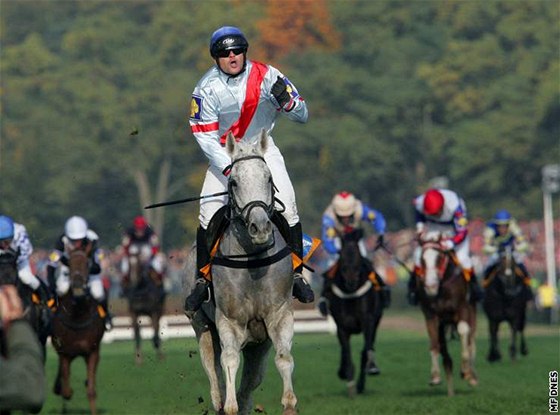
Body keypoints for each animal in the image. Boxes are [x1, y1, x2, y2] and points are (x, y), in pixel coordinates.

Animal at [50, 247, 105, 415]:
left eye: (87, 264)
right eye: (70, 264)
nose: (79, 288)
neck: (78, 315)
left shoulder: (92, 352)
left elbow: (91, 391)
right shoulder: (65, 353)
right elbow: (66, 390)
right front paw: (65, 390)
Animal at [184, 131, 298, 415]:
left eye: (268, 178)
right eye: (233, 182)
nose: (260, 227)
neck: (252, 261)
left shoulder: (279, 316)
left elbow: (284, 358)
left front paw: (289, 403)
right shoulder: (229, 322)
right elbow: (229, 364)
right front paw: (229, 405)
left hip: (258, 345)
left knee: (248, 387)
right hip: (201, 327)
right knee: (215, 380)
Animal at [324, 229, 384, 398]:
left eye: (358, 256)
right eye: (342, 256)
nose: (351, 281)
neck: (351, 294)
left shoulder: (368, 322)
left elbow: (366, 350)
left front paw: (364, 378)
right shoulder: (341, 326)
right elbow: (346, 351)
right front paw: (348, 379)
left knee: (368, 348)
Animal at [414, 231, 480, 396]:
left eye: (439, 257)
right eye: (422, 259)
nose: (431, 286)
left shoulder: (462, 308)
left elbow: (464, 332)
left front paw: (466, 371)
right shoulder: (431, 315)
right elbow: (434, 342)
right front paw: (435, 376)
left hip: (472, 313)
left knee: (471, 341)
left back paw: (472, 375)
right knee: (445, 353)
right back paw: (450, 391)